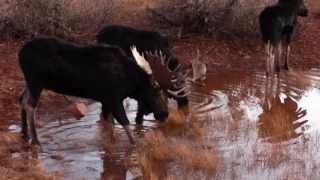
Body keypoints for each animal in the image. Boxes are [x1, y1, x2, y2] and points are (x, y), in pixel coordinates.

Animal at [17, 35, 188, 146]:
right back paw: (35, 140)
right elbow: (125, 124)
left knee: (22, 99)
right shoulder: (113, 98)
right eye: (158, 92)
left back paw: (24, 134)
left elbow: (109, 126)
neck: (129, 82)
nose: (165, 114)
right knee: (30, 106)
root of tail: (19, 54)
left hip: (30, 82)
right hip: (36, 82)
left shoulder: (105, 100)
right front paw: (134, 146)